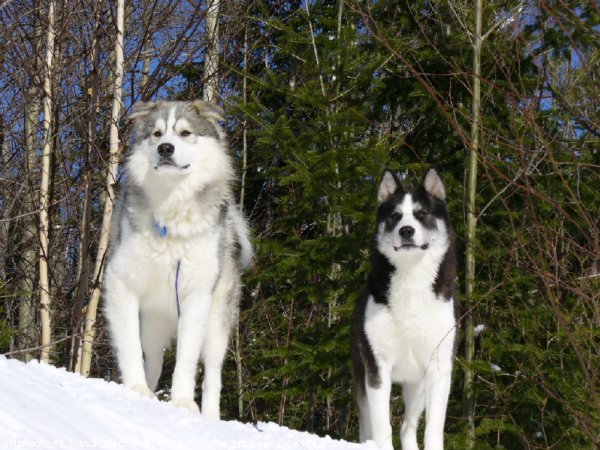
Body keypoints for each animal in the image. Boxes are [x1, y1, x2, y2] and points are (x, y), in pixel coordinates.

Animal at [103, 100, 251, 416]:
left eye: (185, 133)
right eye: (157, 134)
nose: (165, 149)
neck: (170, 212)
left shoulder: (196, 297)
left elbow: (187, 360)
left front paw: (183, 402)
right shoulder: (122, 283)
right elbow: (130, 346)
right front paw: (136, 390)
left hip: (217, 322)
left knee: (212, 375)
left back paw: (210, 415)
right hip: (153, 322)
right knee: (154, 359)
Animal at [352, 170, 454, 450]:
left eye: (421, 213)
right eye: (395, 216)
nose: (406, 230)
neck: (411, 275)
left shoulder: (439, 367)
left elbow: (433, 427)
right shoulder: (376, 367)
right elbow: (381, 427)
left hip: (417, 386)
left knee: (407, 426)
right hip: (361, 373)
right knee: (367, 425)